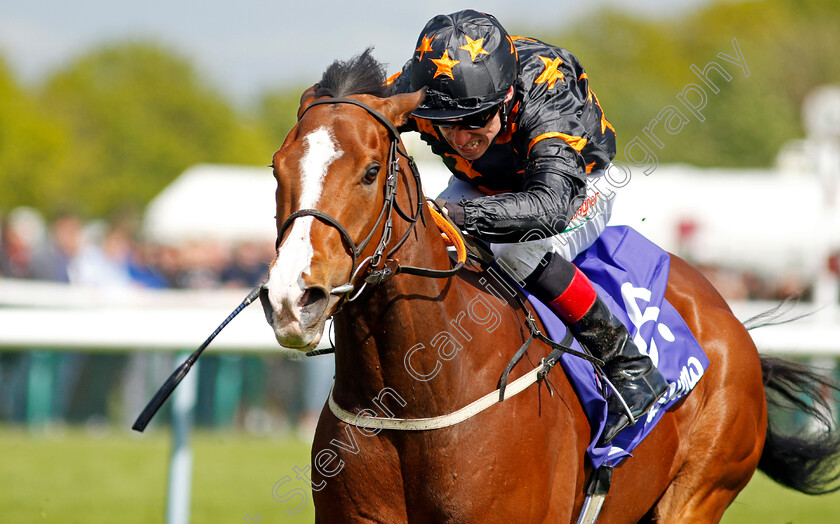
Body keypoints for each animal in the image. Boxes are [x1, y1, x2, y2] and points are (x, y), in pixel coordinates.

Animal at [260, 50, 836, 524]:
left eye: (371, 170)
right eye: (276, 168)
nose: (293, 298)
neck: (412, 398)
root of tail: (730, 319)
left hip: (699, 493)